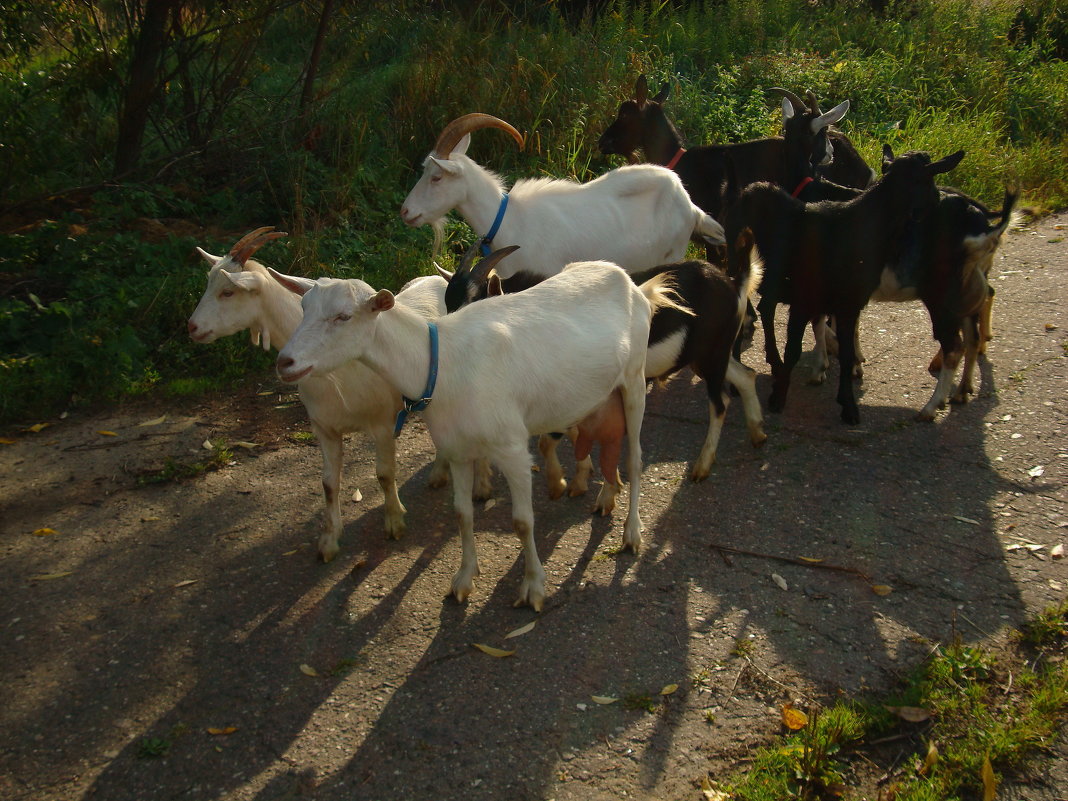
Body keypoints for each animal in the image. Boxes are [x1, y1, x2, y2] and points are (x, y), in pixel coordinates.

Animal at [186, 226, 467, 563]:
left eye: (227, 292)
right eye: (303, 308)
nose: (191, 327)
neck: (338, 375)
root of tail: (437, 276)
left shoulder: (383, 424)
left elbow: (385, 474)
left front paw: (394, 522)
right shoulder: (323, 427)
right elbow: (329, 484)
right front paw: (329, 541)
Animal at [273, 257, 674, 615]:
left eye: (343, 316)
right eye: (303, 307)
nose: (284, 362)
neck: (441, 363)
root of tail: (633, 284)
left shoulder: (512, 448)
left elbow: (522, 521)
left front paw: (533, 587)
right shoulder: (457, 449)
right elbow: (463, 514)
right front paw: (463, 580)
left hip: (634, 380)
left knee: (636, 457)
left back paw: (632, 534)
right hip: (596, 393)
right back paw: (605, 495)